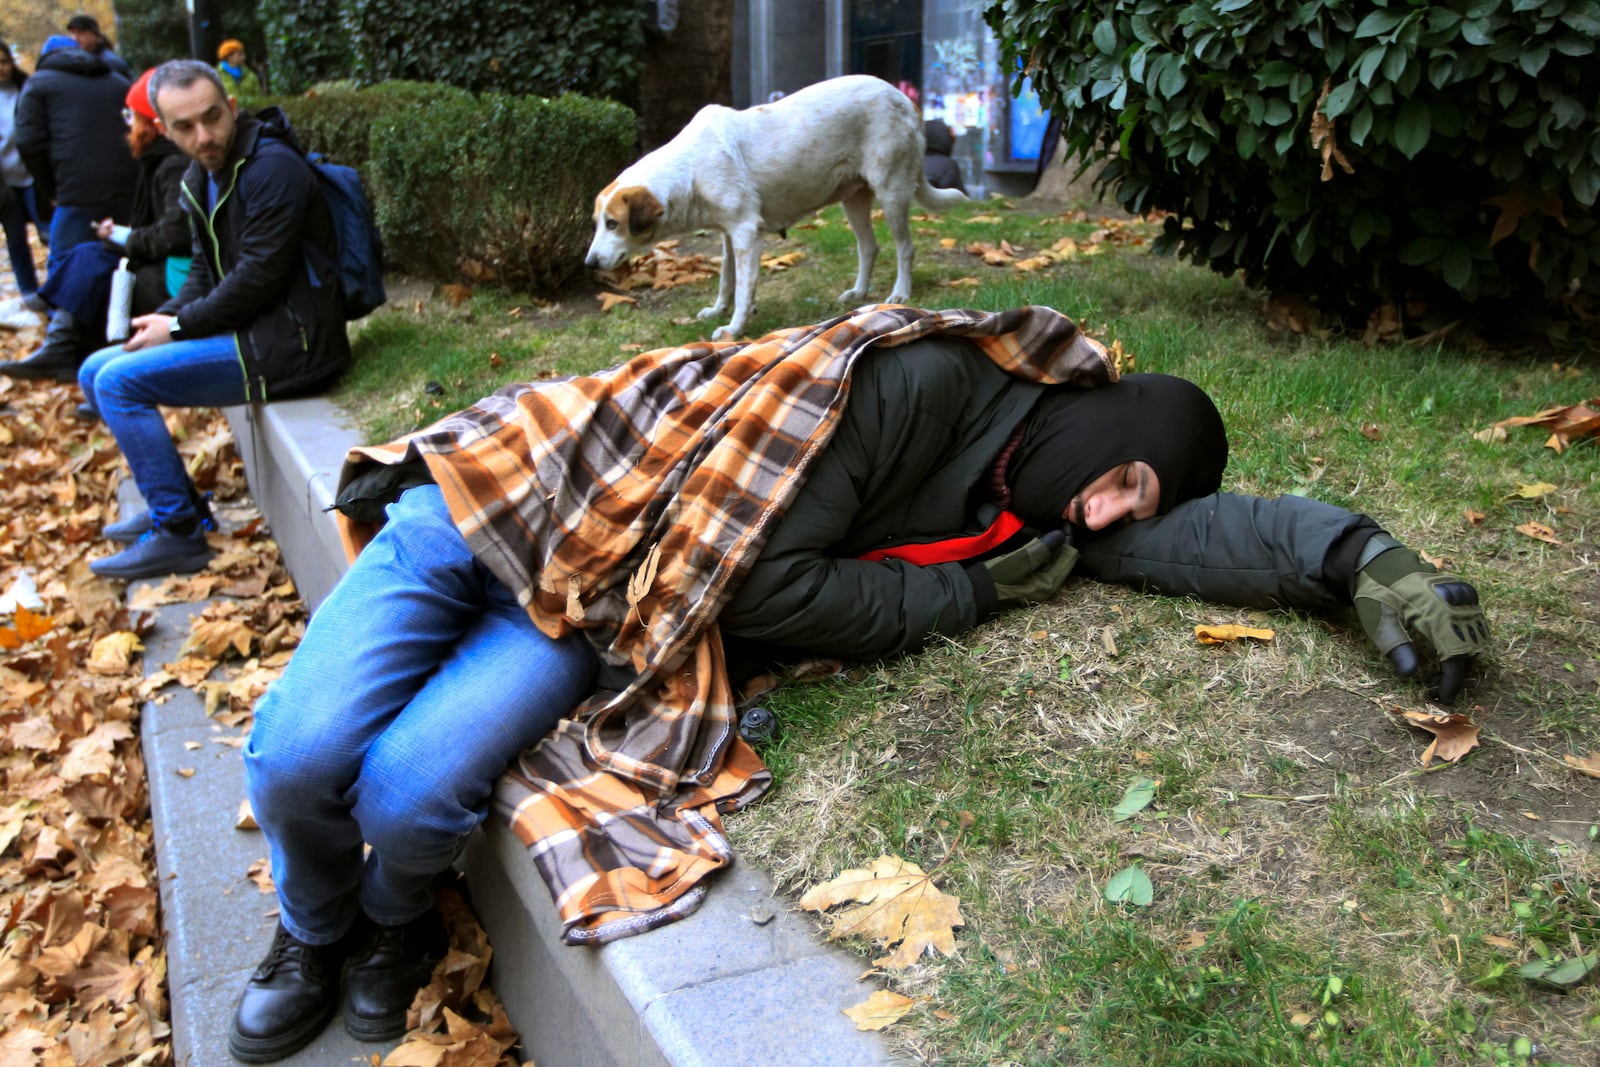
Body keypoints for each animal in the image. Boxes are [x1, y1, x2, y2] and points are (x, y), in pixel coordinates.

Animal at [585, 75, 960, 340]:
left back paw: (900, 292)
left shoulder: (746, 232)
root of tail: (904, 98)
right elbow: (727, 279)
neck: (690, 170)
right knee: (869, 247)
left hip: (891, 192)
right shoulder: (728, 235)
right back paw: (859, 292)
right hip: (853, 200)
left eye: (613, 223)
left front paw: (734, 328)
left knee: (905, 248)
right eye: (597, 222)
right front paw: (718, 310)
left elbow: (743, 287)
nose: (589, 264)